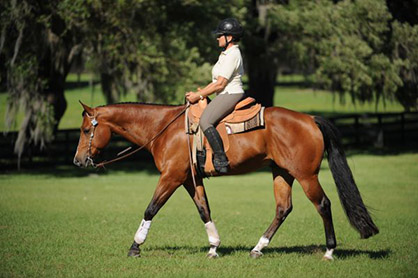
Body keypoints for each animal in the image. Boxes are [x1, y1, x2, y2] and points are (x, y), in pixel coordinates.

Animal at [74, 101, 378, 260]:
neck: (164, 129)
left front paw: (135, 246)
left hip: (306, 176)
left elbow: (151, 208)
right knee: (283, 209)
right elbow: (204, 210)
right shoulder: (189, 180)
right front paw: (214, 246)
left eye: (86, 130)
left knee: (323, 204)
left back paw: (329, 251)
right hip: (282, 173)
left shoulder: (171, 177)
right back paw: (257, 248)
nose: (78, 161)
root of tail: (310, 118)